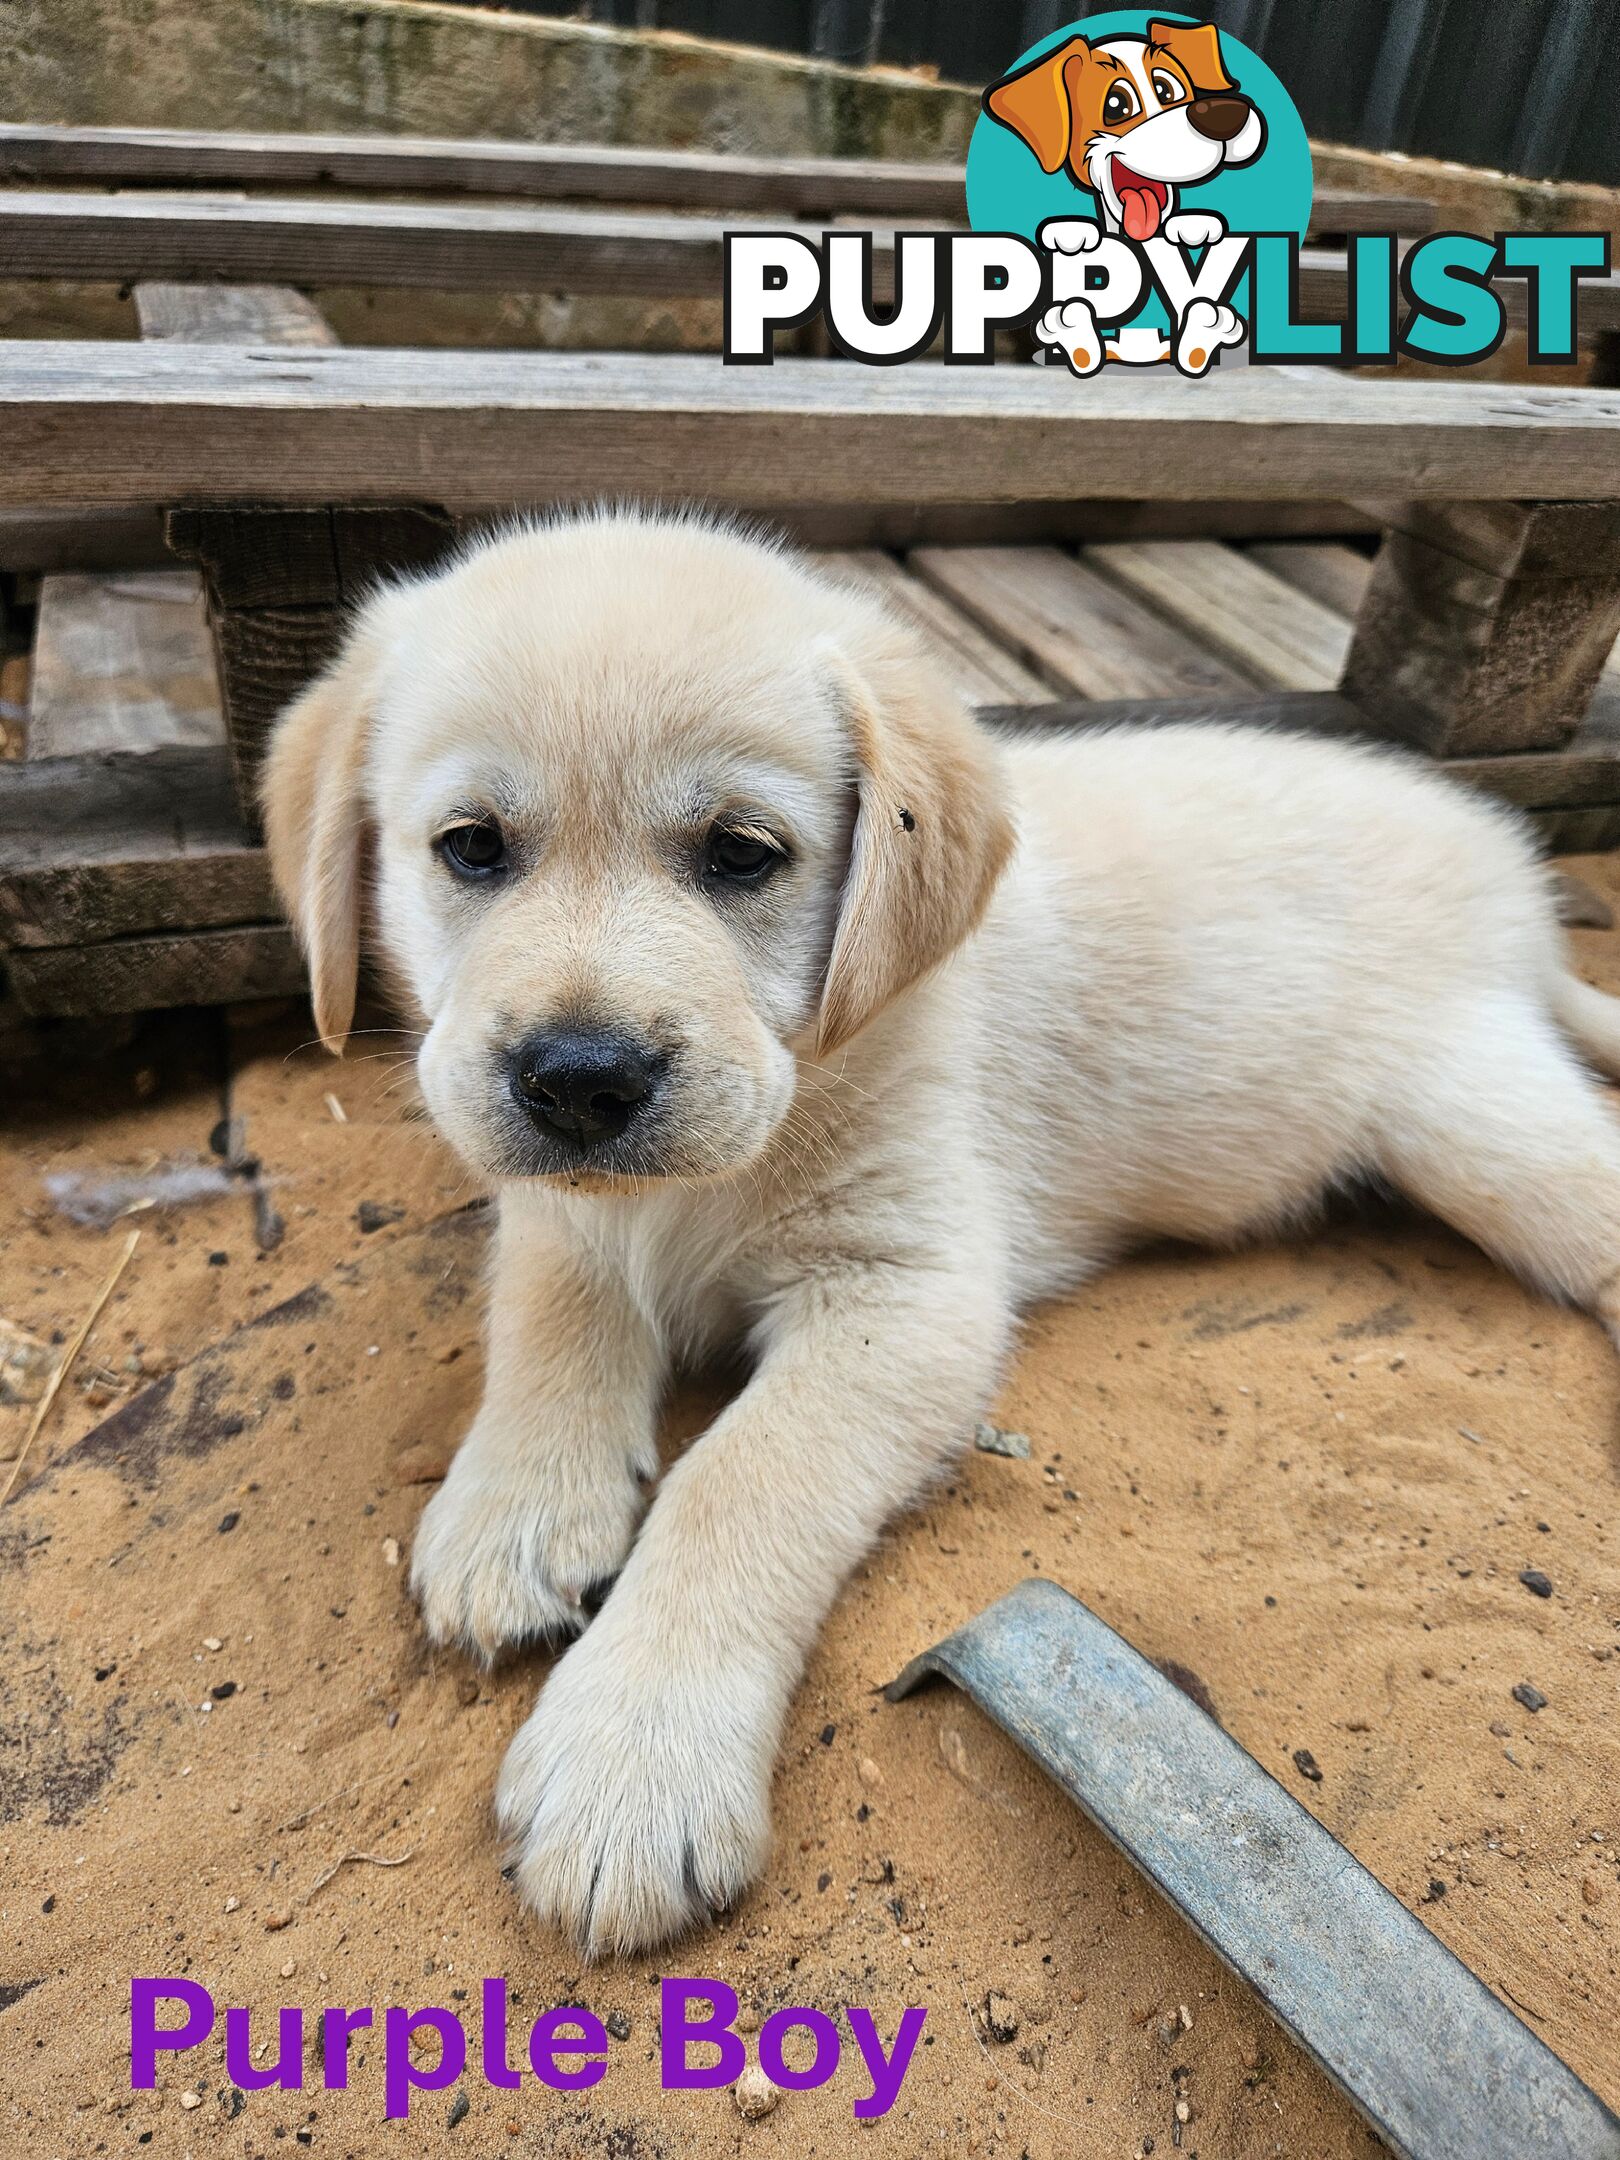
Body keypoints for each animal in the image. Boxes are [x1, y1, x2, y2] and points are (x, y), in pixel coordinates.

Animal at [263, 505, 1620, 1961]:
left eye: (741, 853)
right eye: (471, 847)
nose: (579, 1080)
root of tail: (1516, 887)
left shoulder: (905, 1296)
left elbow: (738, 1480)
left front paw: (636, 1752)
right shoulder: (566, 1214)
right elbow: (550, 1315)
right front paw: (516, 1509)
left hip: (1481, 1124)